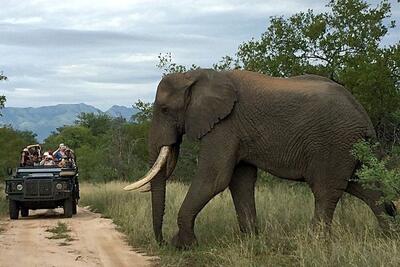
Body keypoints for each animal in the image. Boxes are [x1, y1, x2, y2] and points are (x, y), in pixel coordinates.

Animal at [125, 68, 396, 249]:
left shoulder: (225, 125)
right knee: (362, 187)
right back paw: (389, 237)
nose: (160, 243)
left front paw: (183, 245)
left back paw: (314, 243)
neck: (196, 75)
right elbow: (240, 181)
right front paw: (251, 239)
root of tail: (363, 116)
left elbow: (214, 178)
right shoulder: (236, 130)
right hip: (349, 146)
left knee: (326, 190)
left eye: (164, 110)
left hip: (333, 142)